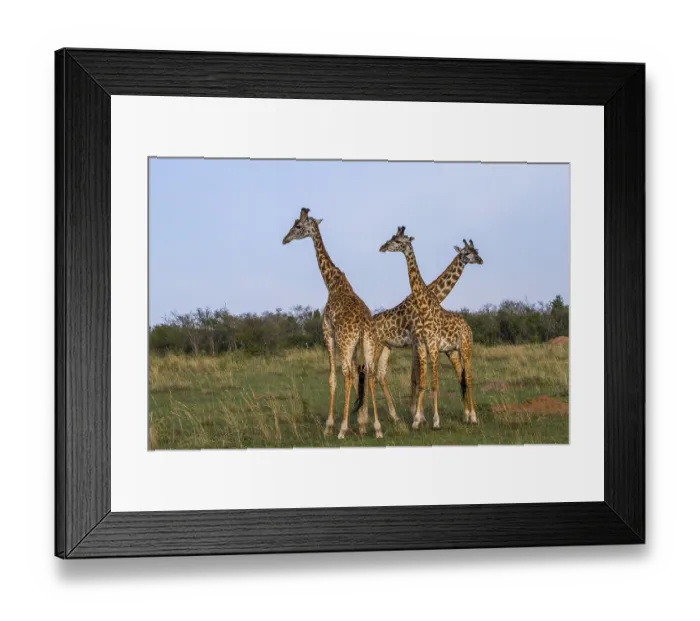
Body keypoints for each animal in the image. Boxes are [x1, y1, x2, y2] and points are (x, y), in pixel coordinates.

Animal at [282, 207, 382, 440]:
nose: (285, 239)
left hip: (345, 343)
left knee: (346, 374)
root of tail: (363, 324)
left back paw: (342, 429)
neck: (332, 282)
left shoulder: (328, 335)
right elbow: (357, 375)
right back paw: (377, 427)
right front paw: (362, 422)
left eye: (298, 226)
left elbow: (332, 378)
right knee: (369, 374)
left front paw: (330, 425)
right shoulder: (354, 347)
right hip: (368, 343)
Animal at [373, 239, 483, 422]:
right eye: (467, 253)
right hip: (376, 345)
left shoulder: (418, 344)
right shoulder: (415, 342)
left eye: (476, 251)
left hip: (387, 346)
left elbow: (417, 377)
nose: (480, 260)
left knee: (379, 375)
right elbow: (416, 377)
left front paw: (418, 413)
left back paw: (393, 415)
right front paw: (417, 414)